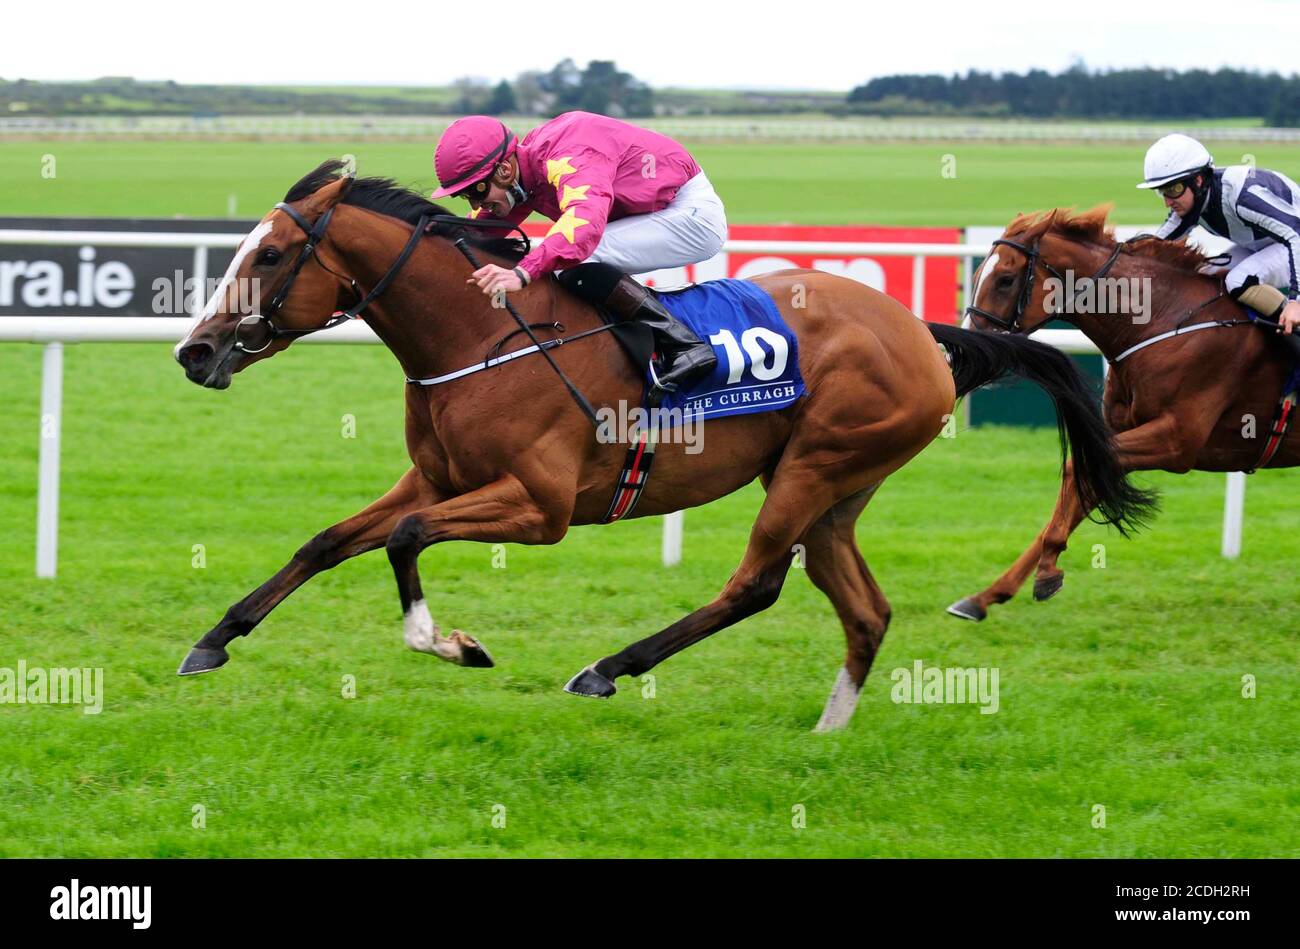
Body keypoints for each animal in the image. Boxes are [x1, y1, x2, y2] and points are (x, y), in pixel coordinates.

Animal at [170, 160, 1149, 722]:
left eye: (268, 256)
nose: (195, 351)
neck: (477, 337)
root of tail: (920, 330)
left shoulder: (539, 508)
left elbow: (405, 542)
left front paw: (450, 642)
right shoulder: (437, 480)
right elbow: (329, 540)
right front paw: (214, 638)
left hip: (816, 465)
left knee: (755, 584)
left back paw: (607, 668)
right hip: (839, 489)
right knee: (864, 608)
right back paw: (829, 730)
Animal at [951, 205, 1294, 621]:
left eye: (1005, 279)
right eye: (978, 273)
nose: (967, 347)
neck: (1166, 322)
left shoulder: (1176, 440)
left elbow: (1075, 471)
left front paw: (1047, 569)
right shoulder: (1119, 435)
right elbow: (1078, 488)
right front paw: (986, 596)